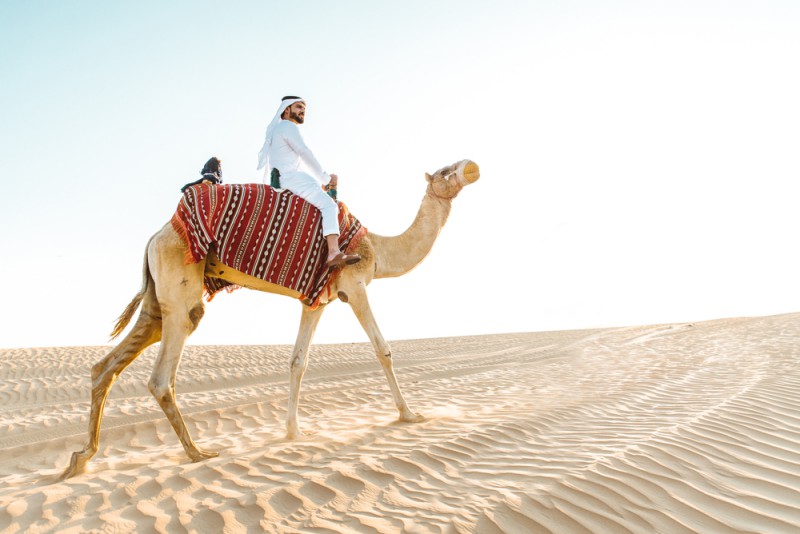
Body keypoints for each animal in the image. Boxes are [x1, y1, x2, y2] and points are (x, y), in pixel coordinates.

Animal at [61, 159, 482, 482]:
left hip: (156, 300)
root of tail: (155, 235)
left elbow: (298, 362)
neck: (378, 249)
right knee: (162, 375)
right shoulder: (355, 285)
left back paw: (81, 458)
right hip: (180, 288)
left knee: (107, 365)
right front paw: (410, 414)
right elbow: (383, 350)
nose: (470, 166)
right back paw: (197, 453)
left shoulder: (316, 301)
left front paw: (294, 432)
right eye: (445, 171)